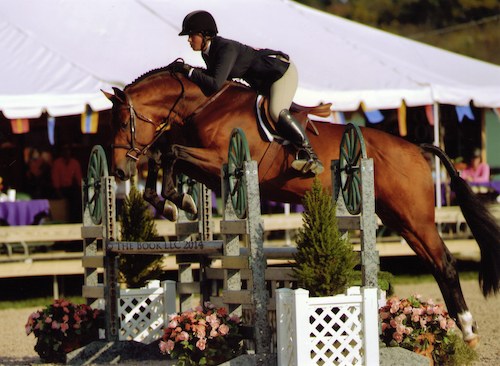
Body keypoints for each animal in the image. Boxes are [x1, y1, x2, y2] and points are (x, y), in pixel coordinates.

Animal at [102, 61, 500, 344]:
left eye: (123, 123)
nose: (120, 170)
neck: (204, 105)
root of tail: (417, 148)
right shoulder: (205, 168)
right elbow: (163, 153)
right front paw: (172, 201)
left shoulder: (220, 164)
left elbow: (170, 151)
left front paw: (176, 199)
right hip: (401, 220)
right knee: (435, 263)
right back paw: (462, 326)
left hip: (415, 218)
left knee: (445, 262)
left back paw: (467, 329)